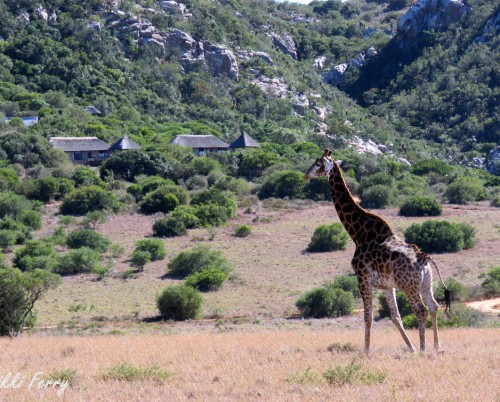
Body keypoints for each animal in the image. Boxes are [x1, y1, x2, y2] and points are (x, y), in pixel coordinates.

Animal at [302, 149, 452, 354]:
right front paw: (411, 348)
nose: (305, 175)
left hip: (409, 286)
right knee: (433, 306)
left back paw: (424, 350)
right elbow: (395, 316)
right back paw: (437, 347)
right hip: (425, 283)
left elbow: (368, 316)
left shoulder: (363, 278)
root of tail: (425, 258)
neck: (357, 233)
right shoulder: (388, 285)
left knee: (420, 310)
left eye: (318, 163)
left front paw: (365, 352)